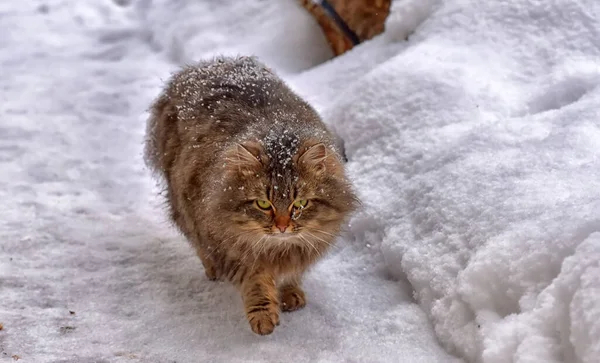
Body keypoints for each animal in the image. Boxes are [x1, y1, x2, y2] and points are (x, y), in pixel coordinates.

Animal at [145, 54, 358, 336]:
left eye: (300, 203)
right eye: (263, 203)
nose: (282, 227)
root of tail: (204, 65)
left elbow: (292, 274)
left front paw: (290, 294)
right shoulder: (229, 247)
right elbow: (256, 283)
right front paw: (264, 318)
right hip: (184, 205)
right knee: (198, 244)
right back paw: (212, 270)